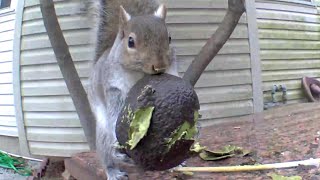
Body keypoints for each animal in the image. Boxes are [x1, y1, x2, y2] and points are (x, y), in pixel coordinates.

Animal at [87, 0, 178, 179]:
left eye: (169, 38)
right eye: (130, 42)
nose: (159, 66)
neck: (140, 74)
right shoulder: (114, 89)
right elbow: (115, 116)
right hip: (103, 131)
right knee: (106, 149)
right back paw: (113, 170)